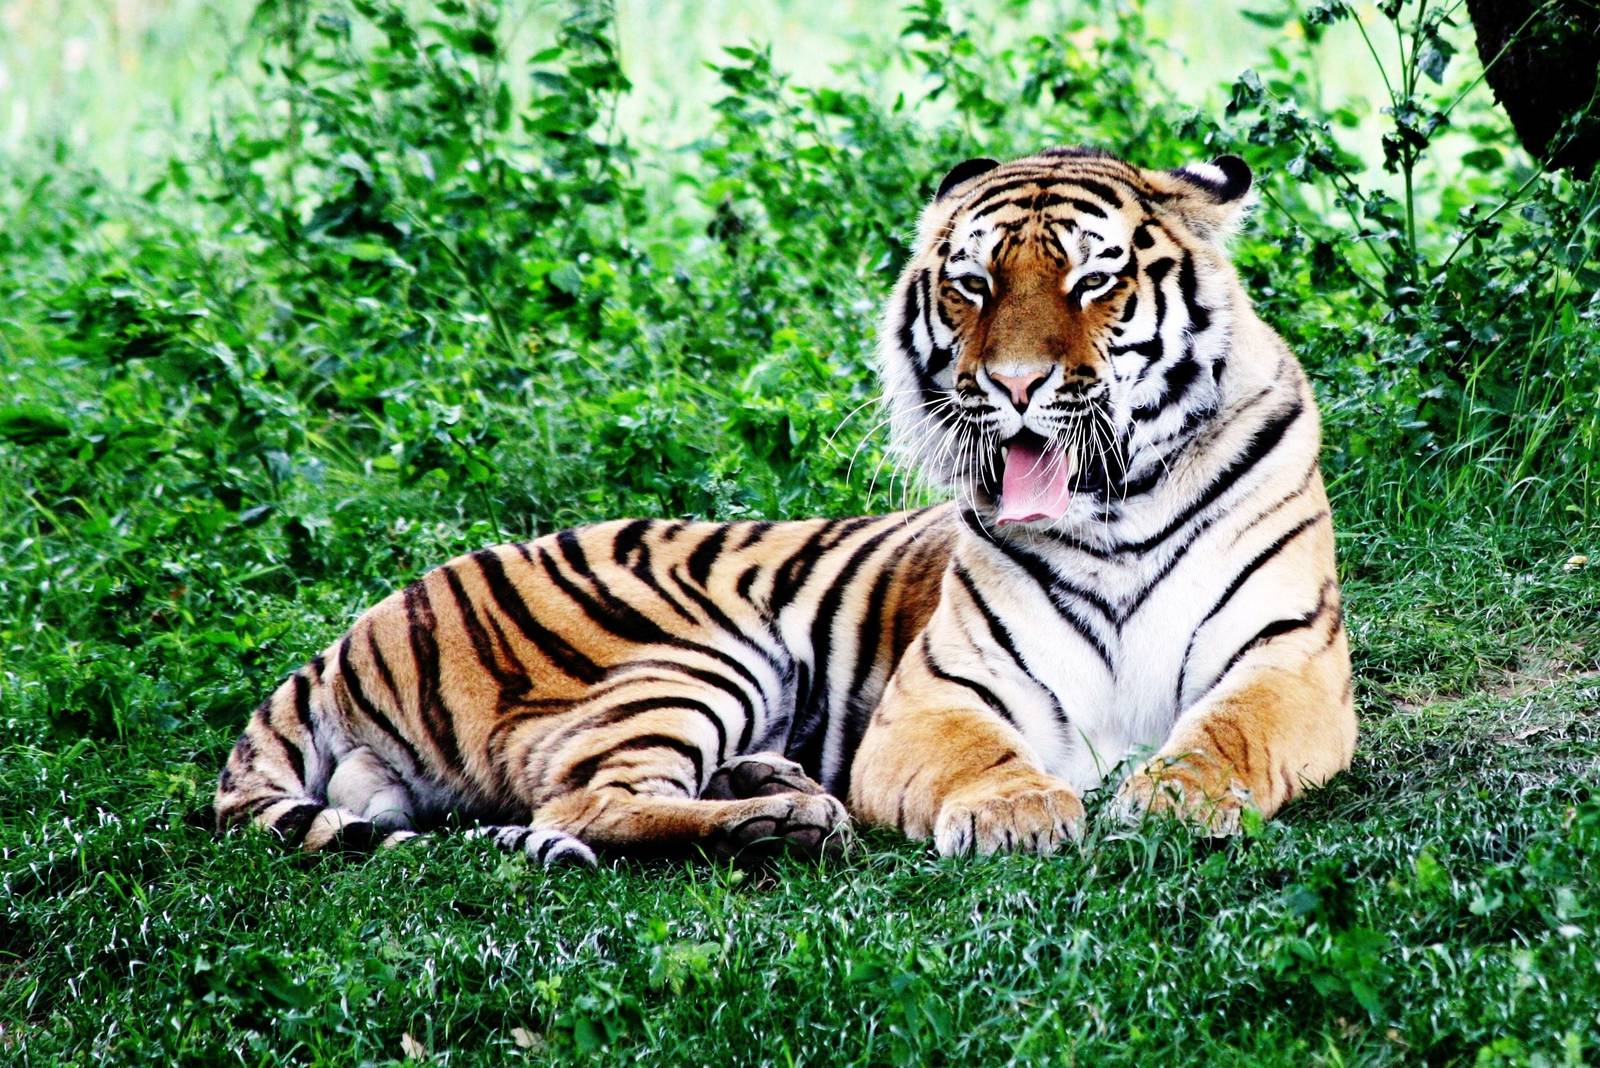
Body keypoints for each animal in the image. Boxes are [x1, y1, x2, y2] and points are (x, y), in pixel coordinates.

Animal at [214, 147, 1355, 864]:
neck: (1114, 509)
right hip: (684, 656)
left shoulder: (1286, 660)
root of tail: (349, 638)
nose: (1016, 384)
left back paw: (779, 790)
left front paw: (1175, 798)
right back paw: (776, 823)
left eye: (1093, 283)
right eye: (973, 285)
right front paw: (1018, 812)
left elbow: (1225, 735)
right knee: (584, 802)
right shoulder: (938, 693)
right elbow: (979, 756)